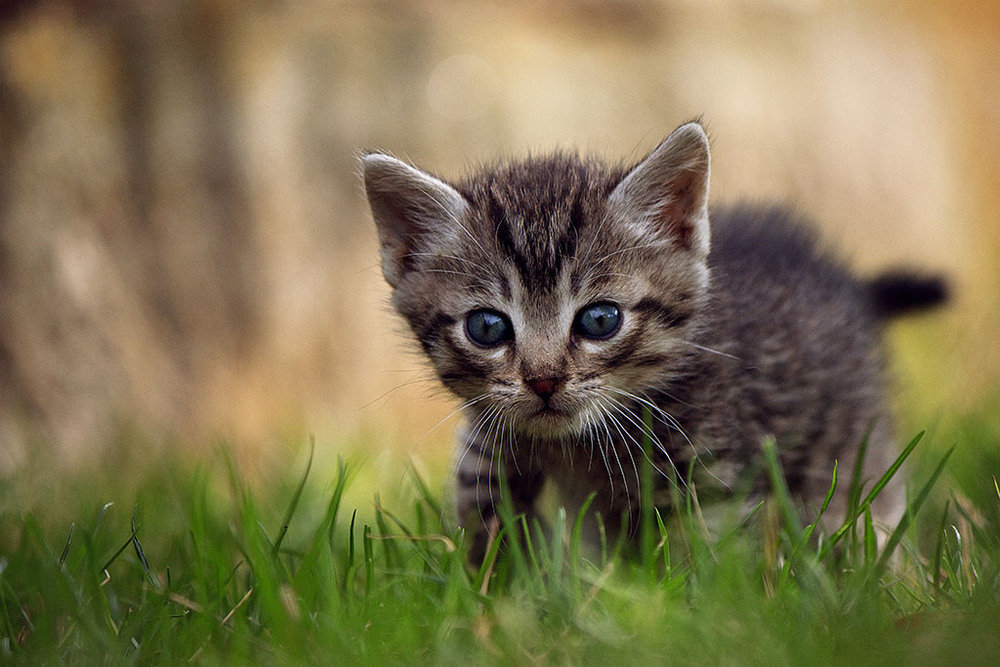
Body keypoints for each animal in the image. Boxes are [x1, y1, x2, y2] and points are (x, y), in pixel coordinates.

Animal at [360, 122, 944, 560]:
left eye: (600, 320)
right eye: (487, 327)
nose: (544, 380)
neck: (575, 447)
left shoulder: (711, 478)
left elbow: (703, 565)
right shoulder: (487, 460)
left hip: (851, 446)